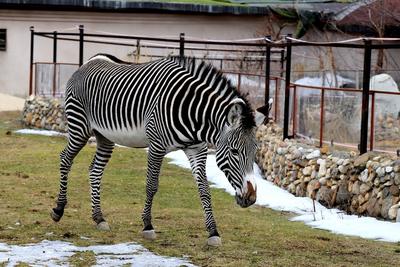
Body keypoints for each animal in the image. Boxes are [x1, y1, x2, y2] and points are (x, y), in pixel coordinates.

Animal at [50, 54, 262, 247]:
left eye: (255, 153)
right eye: (234, 151)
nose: (251, 198)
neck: (193, 116)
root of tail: (88, 62)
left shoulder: (197, 149)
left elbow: (204, 189)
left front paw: (213, 232)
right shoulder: (156, 146)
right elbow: (151, 185)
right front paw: (148, 226)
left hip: (104, 137)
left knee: (95, 170)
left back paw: (99, 218)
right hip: (79, 127)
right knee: (65, 159)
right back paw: (58, 209)